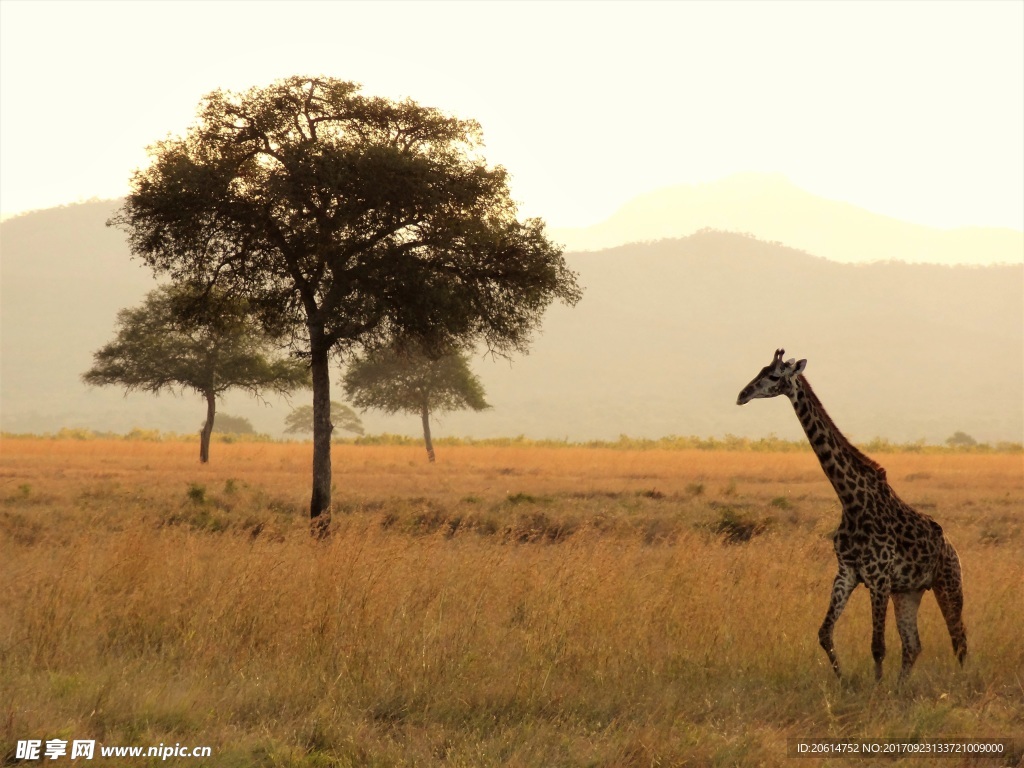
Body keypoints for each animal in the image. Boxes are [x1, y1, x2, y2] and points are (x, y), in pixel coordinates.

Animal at [737, 352, 966, 684]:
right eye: (761, 370)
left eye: (775, 376)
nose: (742, 395)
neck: (852, 502)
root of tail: (950, 545)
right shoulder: (847, 572)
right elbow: (825, 633)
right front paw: (844, 682)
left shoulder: (879, 578)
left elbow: (878, 646)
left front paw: (876, 688)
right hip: (908, 592)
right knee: (913, 645)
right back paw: (900, 687)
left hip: (948, 582)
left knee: (959, 639)